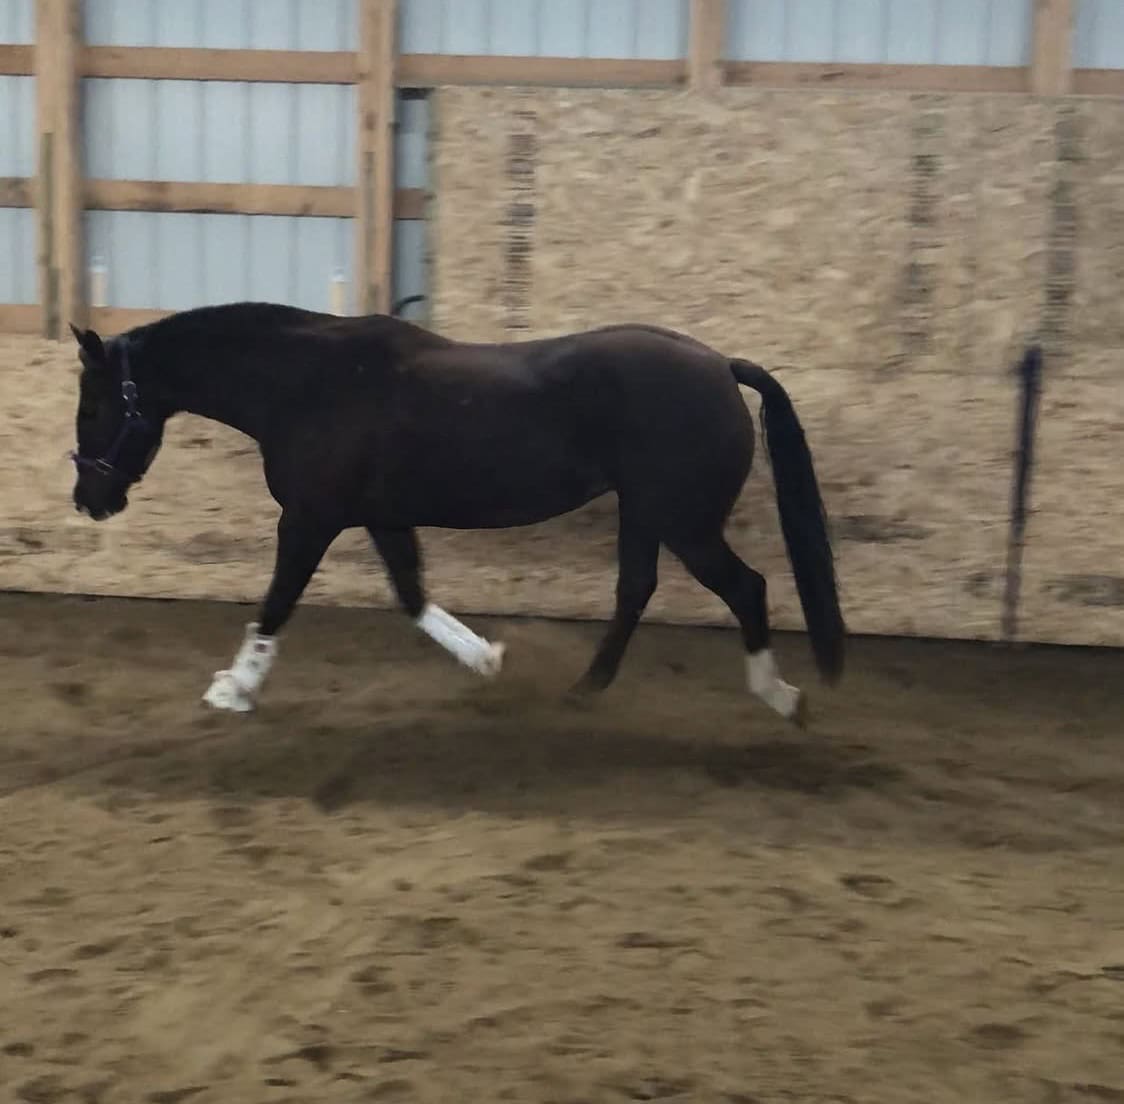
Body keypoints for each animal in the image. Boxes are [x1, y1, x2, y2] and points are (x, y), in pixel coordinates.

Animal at [66, 301, 845, 723]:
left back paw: (782, 697)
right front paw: (489, 660)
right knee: (636, 590)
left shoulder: (311, 519)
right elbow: (412, 597)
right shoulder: (379, 518)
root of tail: (720, 366)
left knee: (746, 588)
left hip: (683, 520)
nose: (89, 500)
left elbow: (277, 603)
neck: (305, 385)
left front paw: (232, 689)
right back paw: (583, 690)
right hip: (646, 513)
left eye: (97, 405)